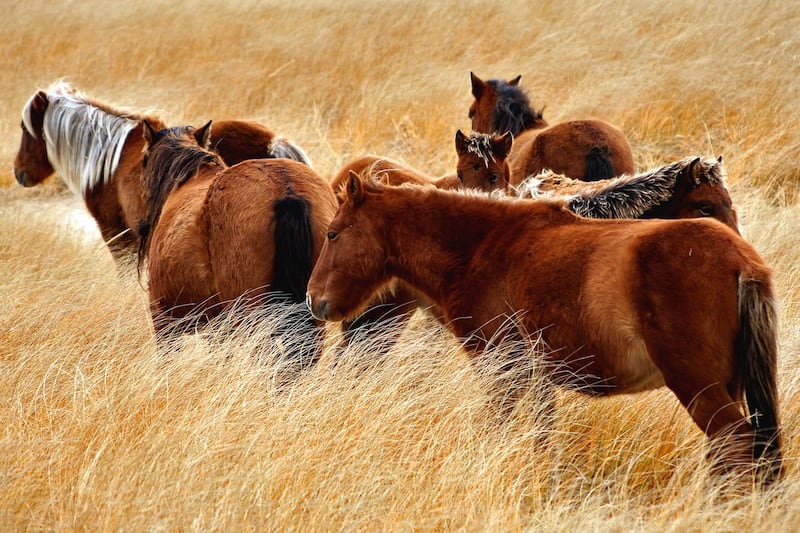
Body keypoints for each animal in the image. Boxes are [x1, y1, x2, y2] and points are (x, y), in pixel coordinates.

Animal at [306, 172, 783, 486]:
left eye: (334, 234)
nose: (315, 300)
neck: (483, 247)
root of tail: (742, 261)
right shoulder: (535, 380)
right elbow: (541, 438)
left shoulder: (500, 372)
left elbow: (495, 430)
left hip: (700, 389)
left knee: (734, 446)